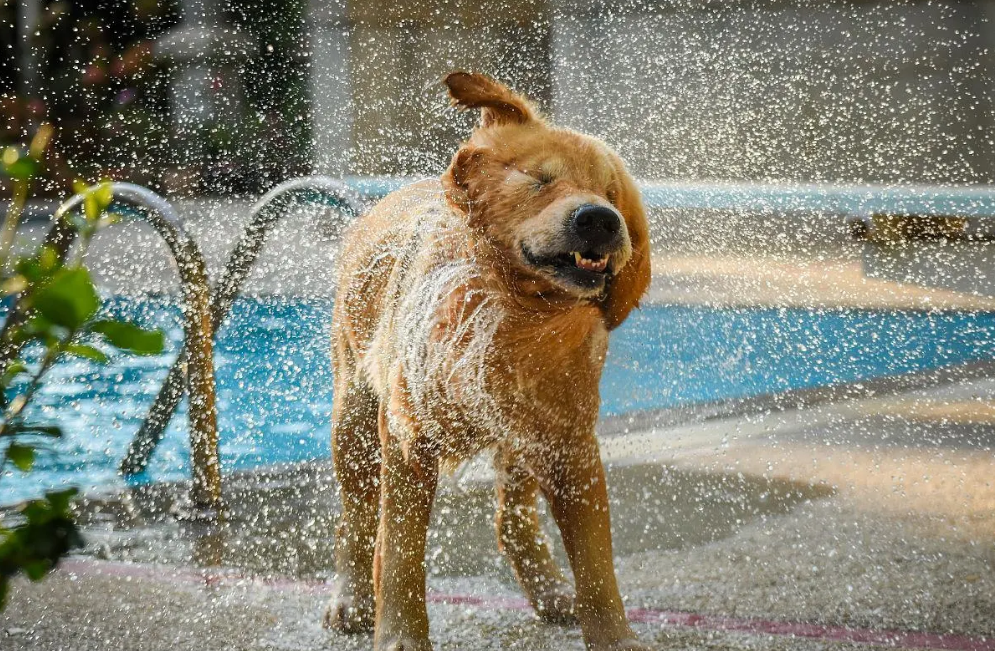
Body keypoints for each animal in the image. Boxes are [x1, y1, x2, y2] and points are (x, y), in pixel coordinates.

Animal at [324, 72, 652, 651]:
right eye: (540, 179)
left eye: (612, 194)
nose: (601, 219)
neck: (514, 309)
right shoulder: (409, 435)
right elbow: (400, 554)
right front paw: (401, 634)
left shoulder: (569, 443)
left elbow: (597, 568)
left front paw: (613, 637)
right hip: (354, 420)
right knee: (358, 518)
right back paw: (353, 600)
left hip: (521, 433)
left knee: (512, 520)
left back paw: (549, 590)